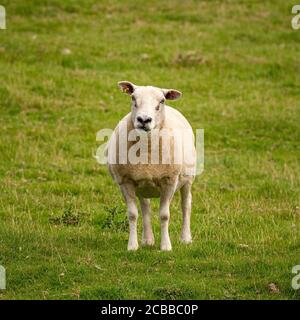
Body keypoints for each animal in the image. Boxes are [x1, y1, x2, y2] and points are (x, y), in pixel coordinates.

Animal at [106, 81, 196, 251]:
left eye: (162, 101)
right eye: (133, 98)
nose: (143, 119)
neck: (146, 149)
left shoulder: (169, 181)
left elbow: (164, 215)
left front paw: (166, 246)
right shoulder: (125, 181)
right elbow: (133, 214)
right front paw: (132, 246)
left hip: (188, 178)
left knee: (186, 204)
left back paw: (186, 238)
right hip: (143, 186)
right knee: (145, 208)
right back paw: (147, 240)